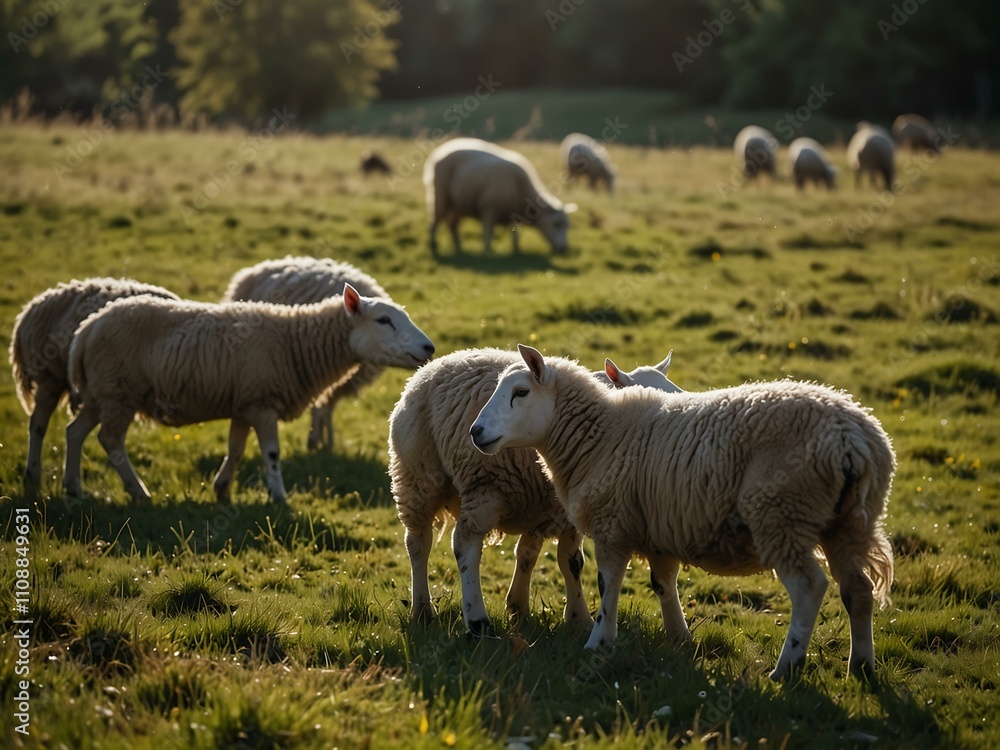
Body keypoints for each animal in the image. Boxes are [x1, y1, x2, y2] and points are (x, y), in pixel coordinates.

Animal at [65, 285, 434, 504]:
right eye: (384, 320)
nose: (429, 348)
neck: (294, 343)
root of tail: (86, 329)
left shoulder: (243, 405)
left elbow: (236, 449)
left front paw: (222, 489)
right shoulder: (261, 403)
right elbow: (271, 453)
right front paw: (280, 497)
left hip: (101, 393)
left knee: (74, 432)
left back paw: (73, 488)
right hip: (118, 393)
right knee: (110, 442)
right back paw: (138, 492)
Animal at [389, 347, 681, 635]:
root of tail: (435, 364)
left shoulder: (562, 509)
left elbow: (570, 561)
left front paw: (577, 616)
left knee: (524, 553)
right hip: (435, 481)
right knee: (432, 544)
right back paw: (444, 612)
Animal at [423, 137, 578, 255]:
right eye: (556, 224)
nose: (563, 249)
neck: (522, 189)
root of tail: (439, 152)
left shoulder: (513, 213)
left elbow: (515, 235)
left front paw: (516, 251)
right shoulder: (489, 208)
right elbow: (489, 232)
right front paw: (487, 251)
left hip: (459, 203)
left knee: (453, 225)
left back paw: (459, 247)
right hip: (441, 196)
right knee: (435, 220)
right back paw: (433, 242)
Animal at [471, 345, 895, 681]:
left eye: (521, 392)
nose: (476, 432)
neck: (599, 433)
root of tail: (852, 440)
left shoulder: (613, 524)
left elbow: (609, 587)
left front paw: (599, 642)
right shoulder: (659, 527)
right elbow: (664, 583)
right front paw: (679, 637)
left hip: (781, 513)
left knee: (809, 587)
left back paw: (786, 668)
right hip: (847, 524)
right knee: (858, 590)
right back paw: (862, 668)